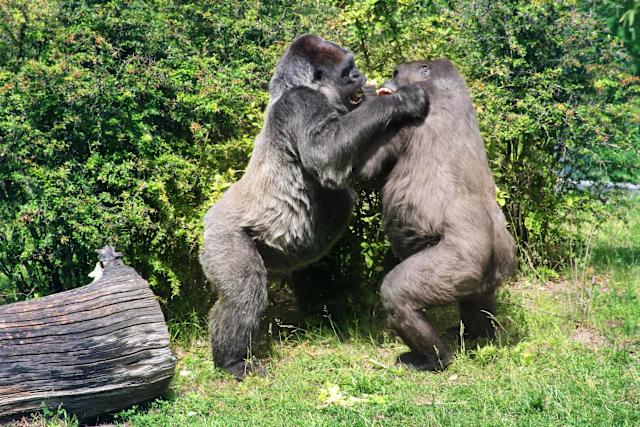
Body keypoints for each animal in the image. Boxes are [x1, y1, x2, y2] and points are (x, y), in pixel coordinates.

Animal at [199, 35, 429, 379]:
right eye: (347, 70)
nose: (360, 75)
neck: (294, 87)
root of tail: (206, 221)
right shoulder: (301, 103)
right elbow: (327, 152)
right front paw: (401, 101)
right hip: (222, 238)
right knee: (242, 295)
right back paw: (232, 361)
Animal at [358, 58, 516, 371]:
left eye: (396, 73)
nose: (388, 80)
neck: (444, 90)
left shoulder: (404, 120)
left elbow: (360, 168)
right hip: (493, 270)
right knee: (478, 302)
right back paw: (479, 337)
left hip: (459, 263)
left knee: (398, 296)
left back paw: (434, 359)